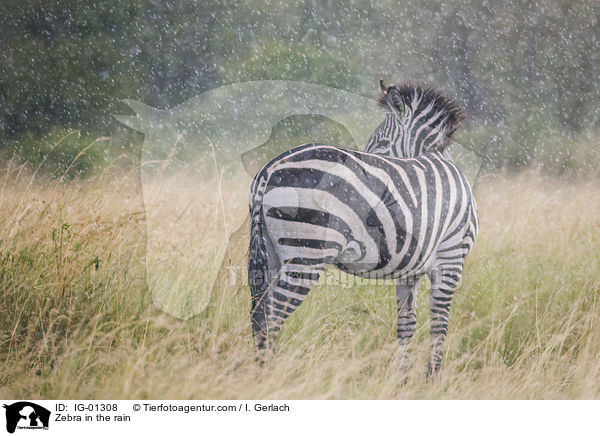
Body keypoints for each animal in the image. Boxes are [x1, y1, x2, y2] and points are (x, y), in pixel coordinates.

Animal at [247, 80, 478, 376]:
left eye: (380, 143)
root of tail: (270, 167)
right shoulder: (451, 260)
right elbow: (440, 327)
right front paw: (433, 379)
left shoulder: (411, 270)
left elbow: (407, 326)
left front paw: (402, 379)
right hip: (307, 253)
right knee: (271, 315)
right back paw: (270, 376)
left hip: (269, 249)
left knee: (258, 313)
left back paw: (262, 374)